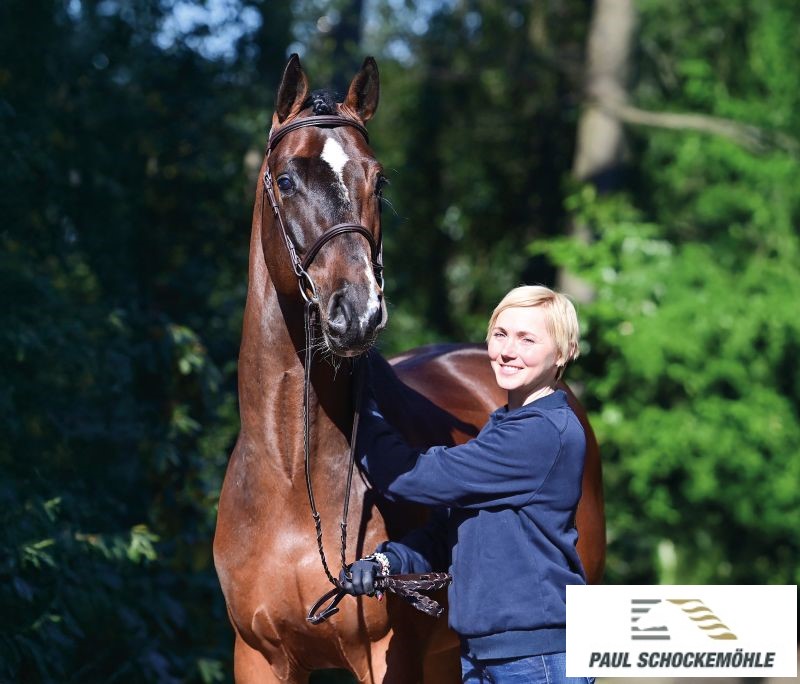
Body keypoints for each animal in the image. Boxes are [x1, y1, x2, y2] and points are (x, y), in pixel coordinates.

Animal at [213, 54, 606, 683]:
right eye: (287, 180)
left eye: (379, 181)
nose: (357, 312)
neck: (289, 475)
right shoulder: (258, 657)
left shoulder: (384, 657)